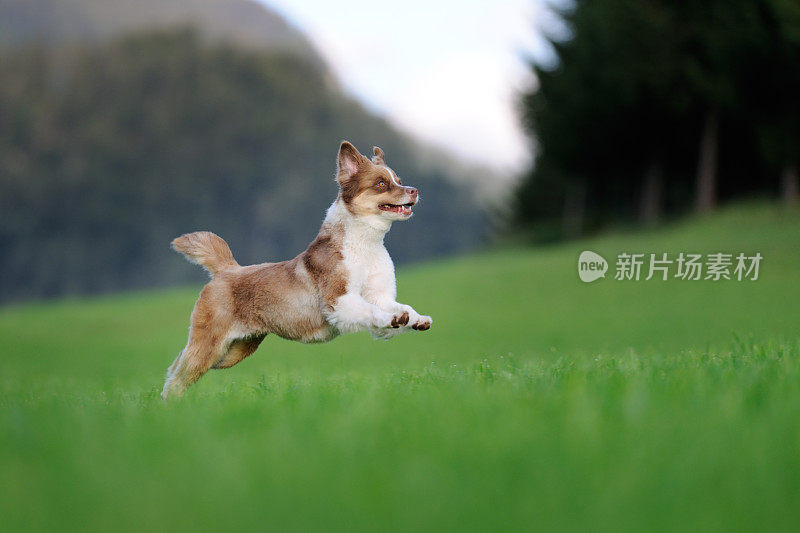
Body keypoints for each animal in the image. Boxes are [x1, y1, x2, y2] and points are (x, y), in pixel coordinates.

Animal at [161, 139, 432, 396]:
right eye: (381, 183)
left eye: (398, 180)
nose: (414, 190)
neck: (365, 245)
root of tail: (227, 269)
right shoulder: (339, 300)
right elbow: (371, 311)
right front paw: (393, 318)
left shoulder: (379, 295)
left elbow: (399, 307)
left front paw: (416, 319)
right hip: (210, 342)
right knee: (178, 374)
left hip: (235, 350)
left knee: (178, 364)